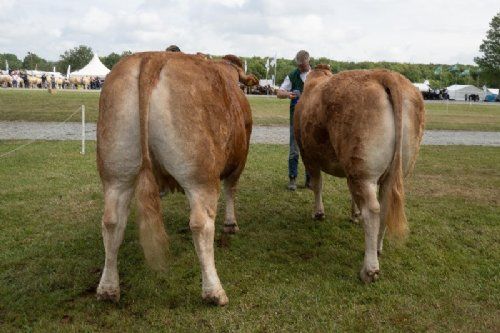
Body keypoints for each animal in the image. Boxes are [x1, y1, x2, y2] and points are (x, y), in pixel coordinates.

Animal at [96, 51, 258, 304]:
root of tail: (152, 57)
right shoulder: (240, 159)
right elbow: (231, 189)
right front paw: (231, 224)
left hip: (116, 171)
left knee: (112, 222)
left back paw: (108, 289)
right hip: (200, 175)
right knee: (201, 224)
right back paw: (214, 291)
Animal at [294, 65, 424, 282]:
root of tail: (383, 74)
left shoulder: (308, 155)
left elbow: (317, 185)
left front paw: (318, 213)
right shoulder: (348, 170)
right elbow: (350, 194)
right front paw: (354, 214)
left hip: (362, 171)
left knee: (372, 210)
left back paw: (369, 270)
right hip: (387, 169)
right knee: (385, 205)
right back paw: (378, 248)